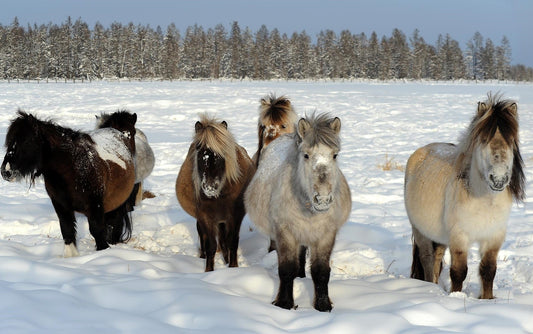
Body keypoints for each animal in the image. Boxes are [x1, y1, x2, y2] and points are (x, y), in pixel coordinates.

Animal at [1, 111, 137, 258]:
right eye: (9, 141)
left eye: (27, 141)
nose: (5, 171)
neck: (73, 168)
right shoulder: (61, 206)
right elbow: (67, 231)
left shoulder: (95, 206)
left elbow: (97, 231)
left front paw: (103, 253)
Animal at [175, 114, 256, 272]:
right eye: (200, 152)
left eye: (222, 154)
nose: (210, 186)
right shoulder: (205, 217)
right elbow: (211, 246)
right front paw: (209, 271)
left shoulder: (235, 216)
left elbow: (232, 243)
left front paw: (233, 267)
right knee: (204, 237)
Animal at [244, 113, 352, 312]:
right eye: (306, 155)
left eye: (334, 155)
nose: (322, 199)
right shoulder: (285, 233)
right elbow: (287, 269)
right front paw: (284, 303)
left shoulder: (325, 235)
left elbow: (321, 271)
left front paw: (323, 305)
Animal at [404, 92, 524, 298]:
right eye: (483, 140)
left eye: (510, 141)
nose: (499, 179)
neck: (484, 201)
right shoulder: (459, 236)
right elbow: (459, 272)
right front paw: (456, 297)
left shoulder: (494, 237)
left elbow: (488, 270)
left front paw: (487, 299)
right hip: (420, 230)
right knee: (427, 258)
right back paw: (430, 287)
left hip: (440, 235)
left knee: (437, 258)